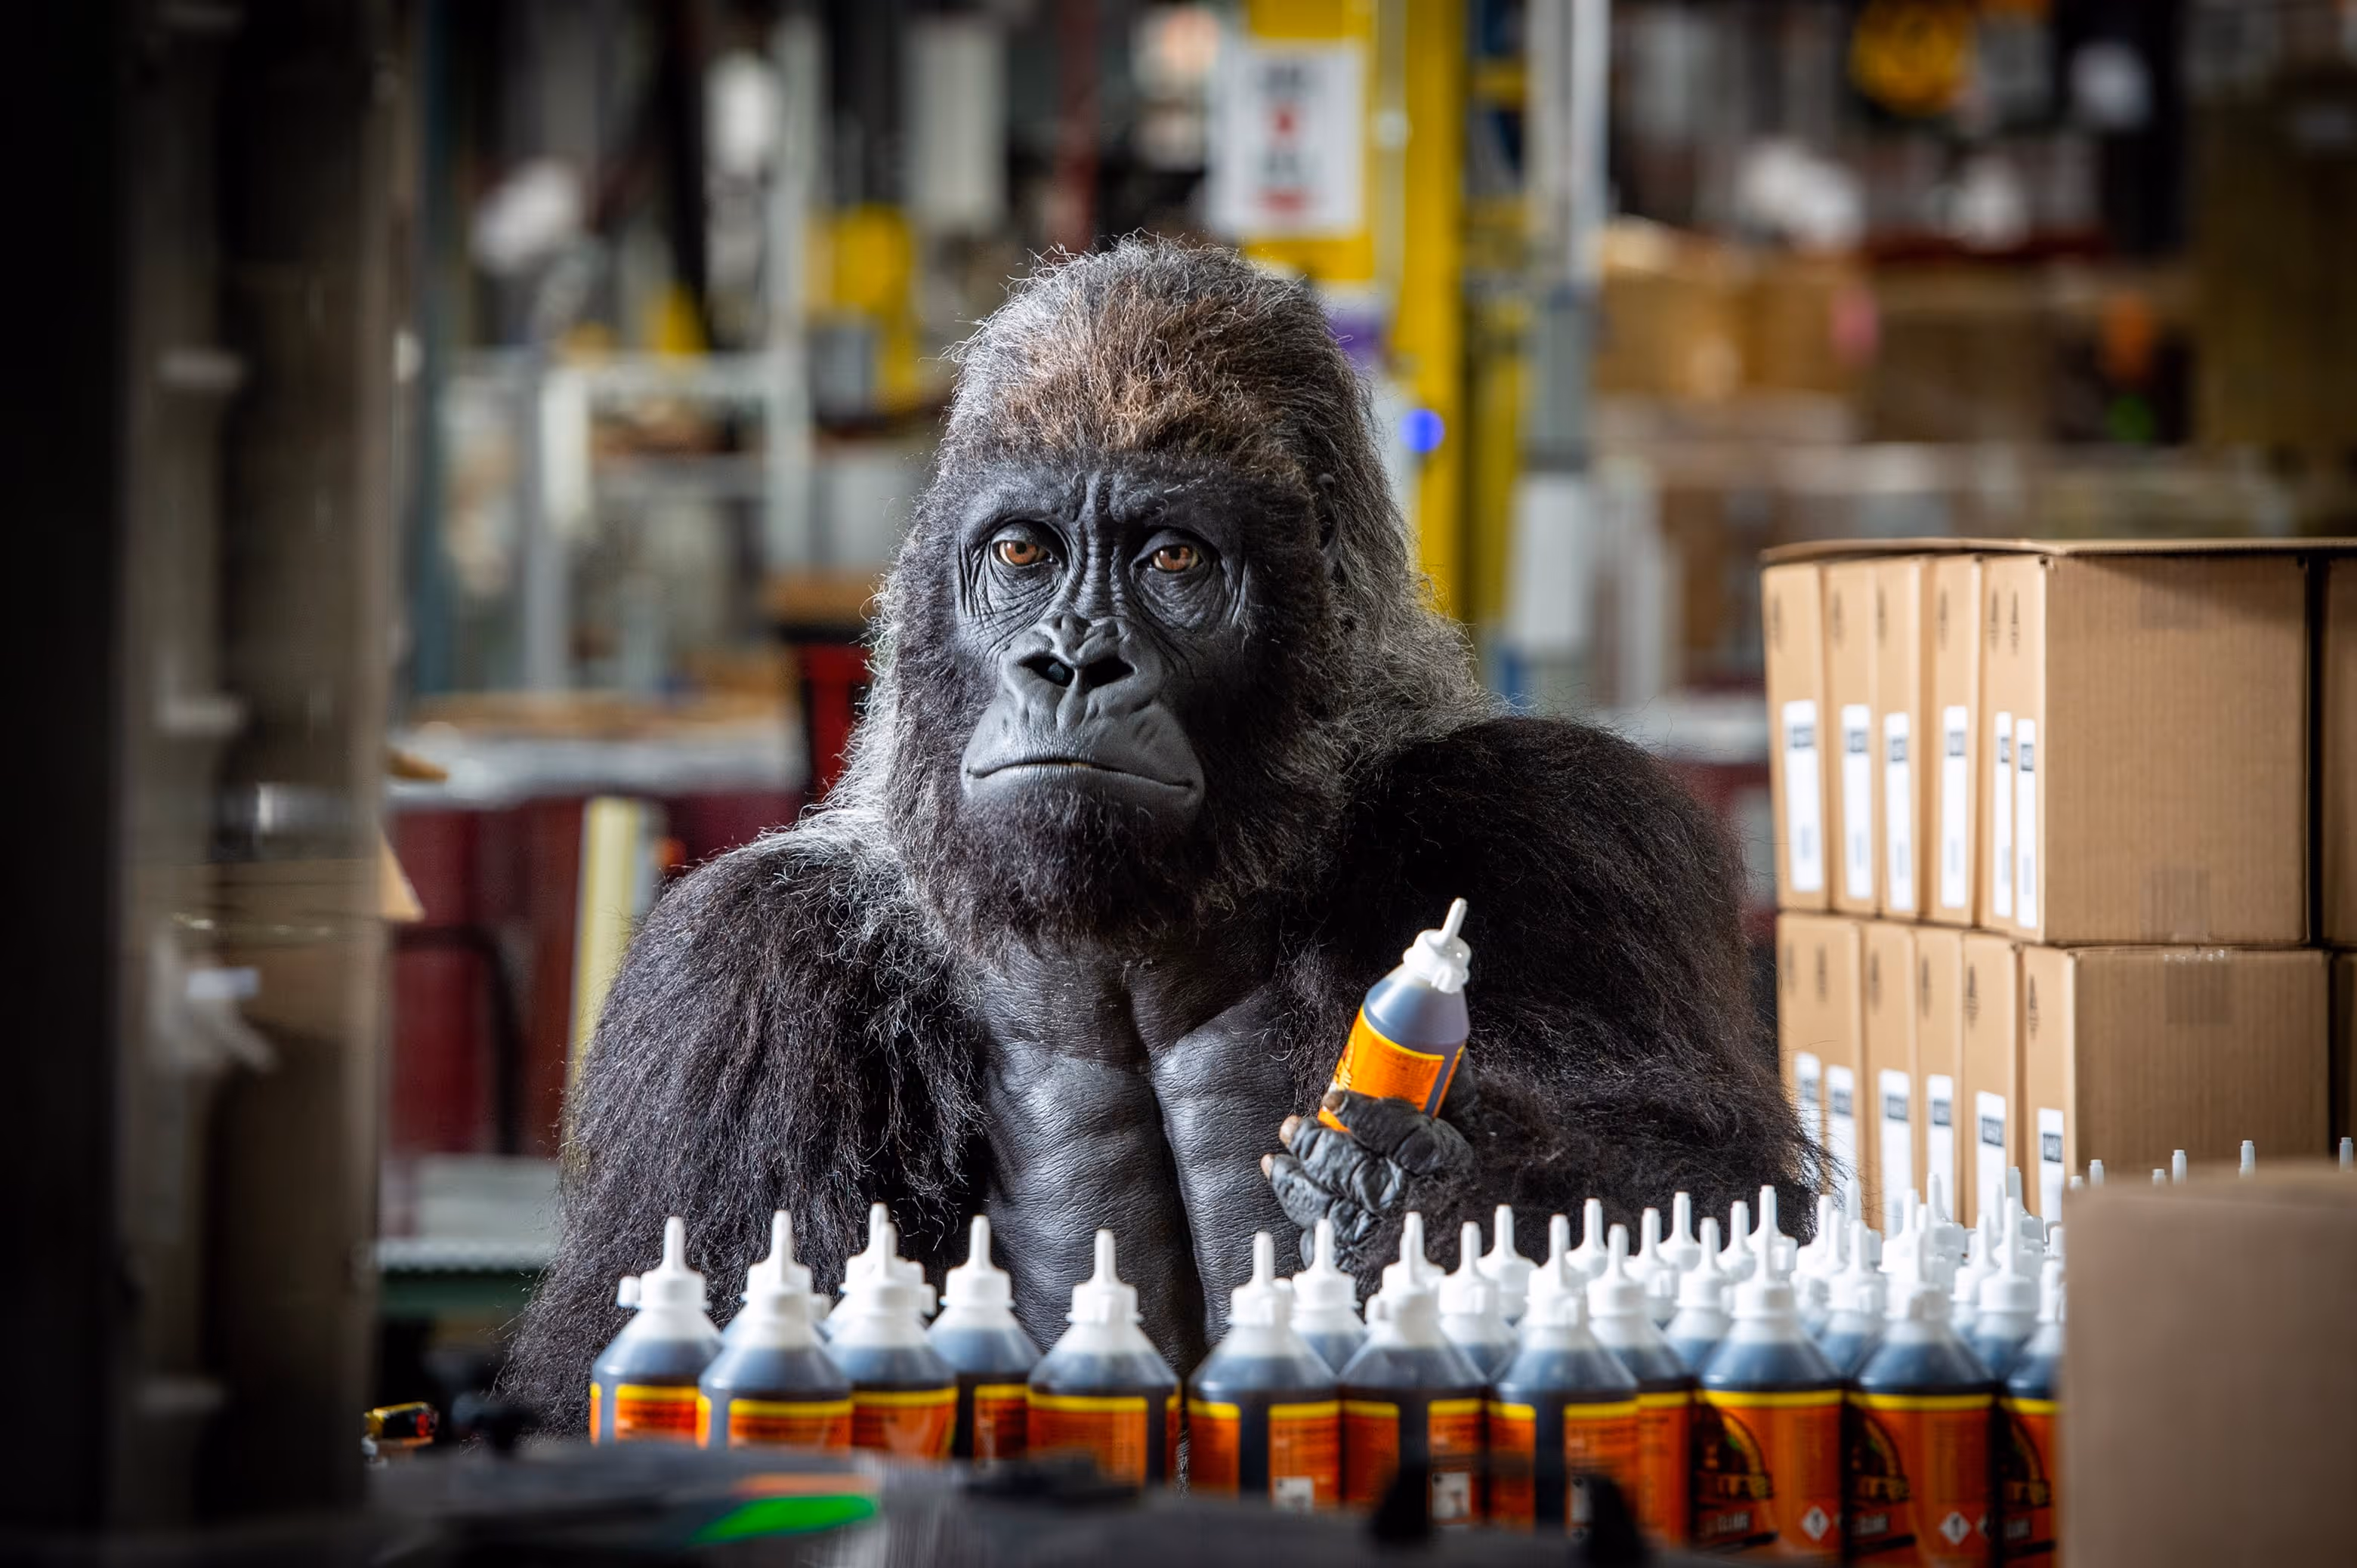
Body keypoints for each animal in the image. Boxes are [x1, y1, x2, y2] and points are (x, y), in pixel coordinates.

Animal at [500, 238, 1816, 1433]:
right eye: (1022, 552)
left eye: (1171, 557)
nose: (1074, 662)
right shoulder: (737, 974)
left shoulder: (1557, 824)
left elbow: (1706, 1205)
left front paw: (1419, 1199)